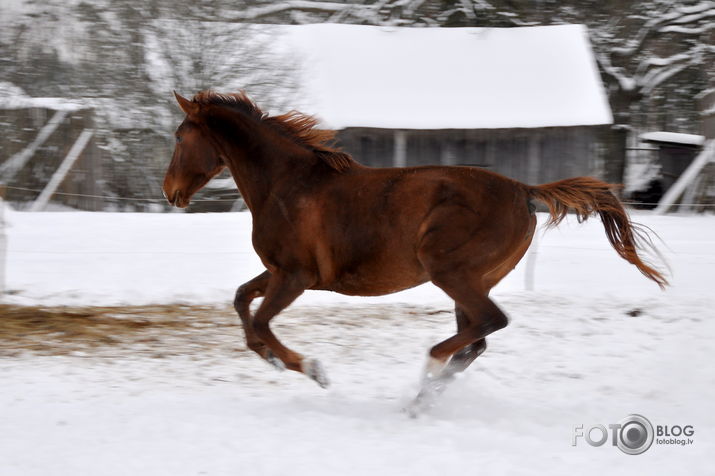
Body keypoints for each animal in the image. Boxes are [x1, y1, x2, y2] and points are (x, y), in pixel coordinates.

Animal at [162, 91, 664, 408]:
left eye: (180, 137)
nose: (170, 192)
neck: (288, 185)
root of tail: (524, 191)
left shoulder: (295, 276)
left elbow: (262, 319)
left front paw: (312, 368)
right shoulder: (279, 272)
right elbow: (242, 301)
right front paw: (270, 358)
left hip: (452, 273)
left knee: (488, 324)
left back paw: (426, 373)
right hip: (471, 281)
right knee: (478, 337)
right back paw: (425, 396)